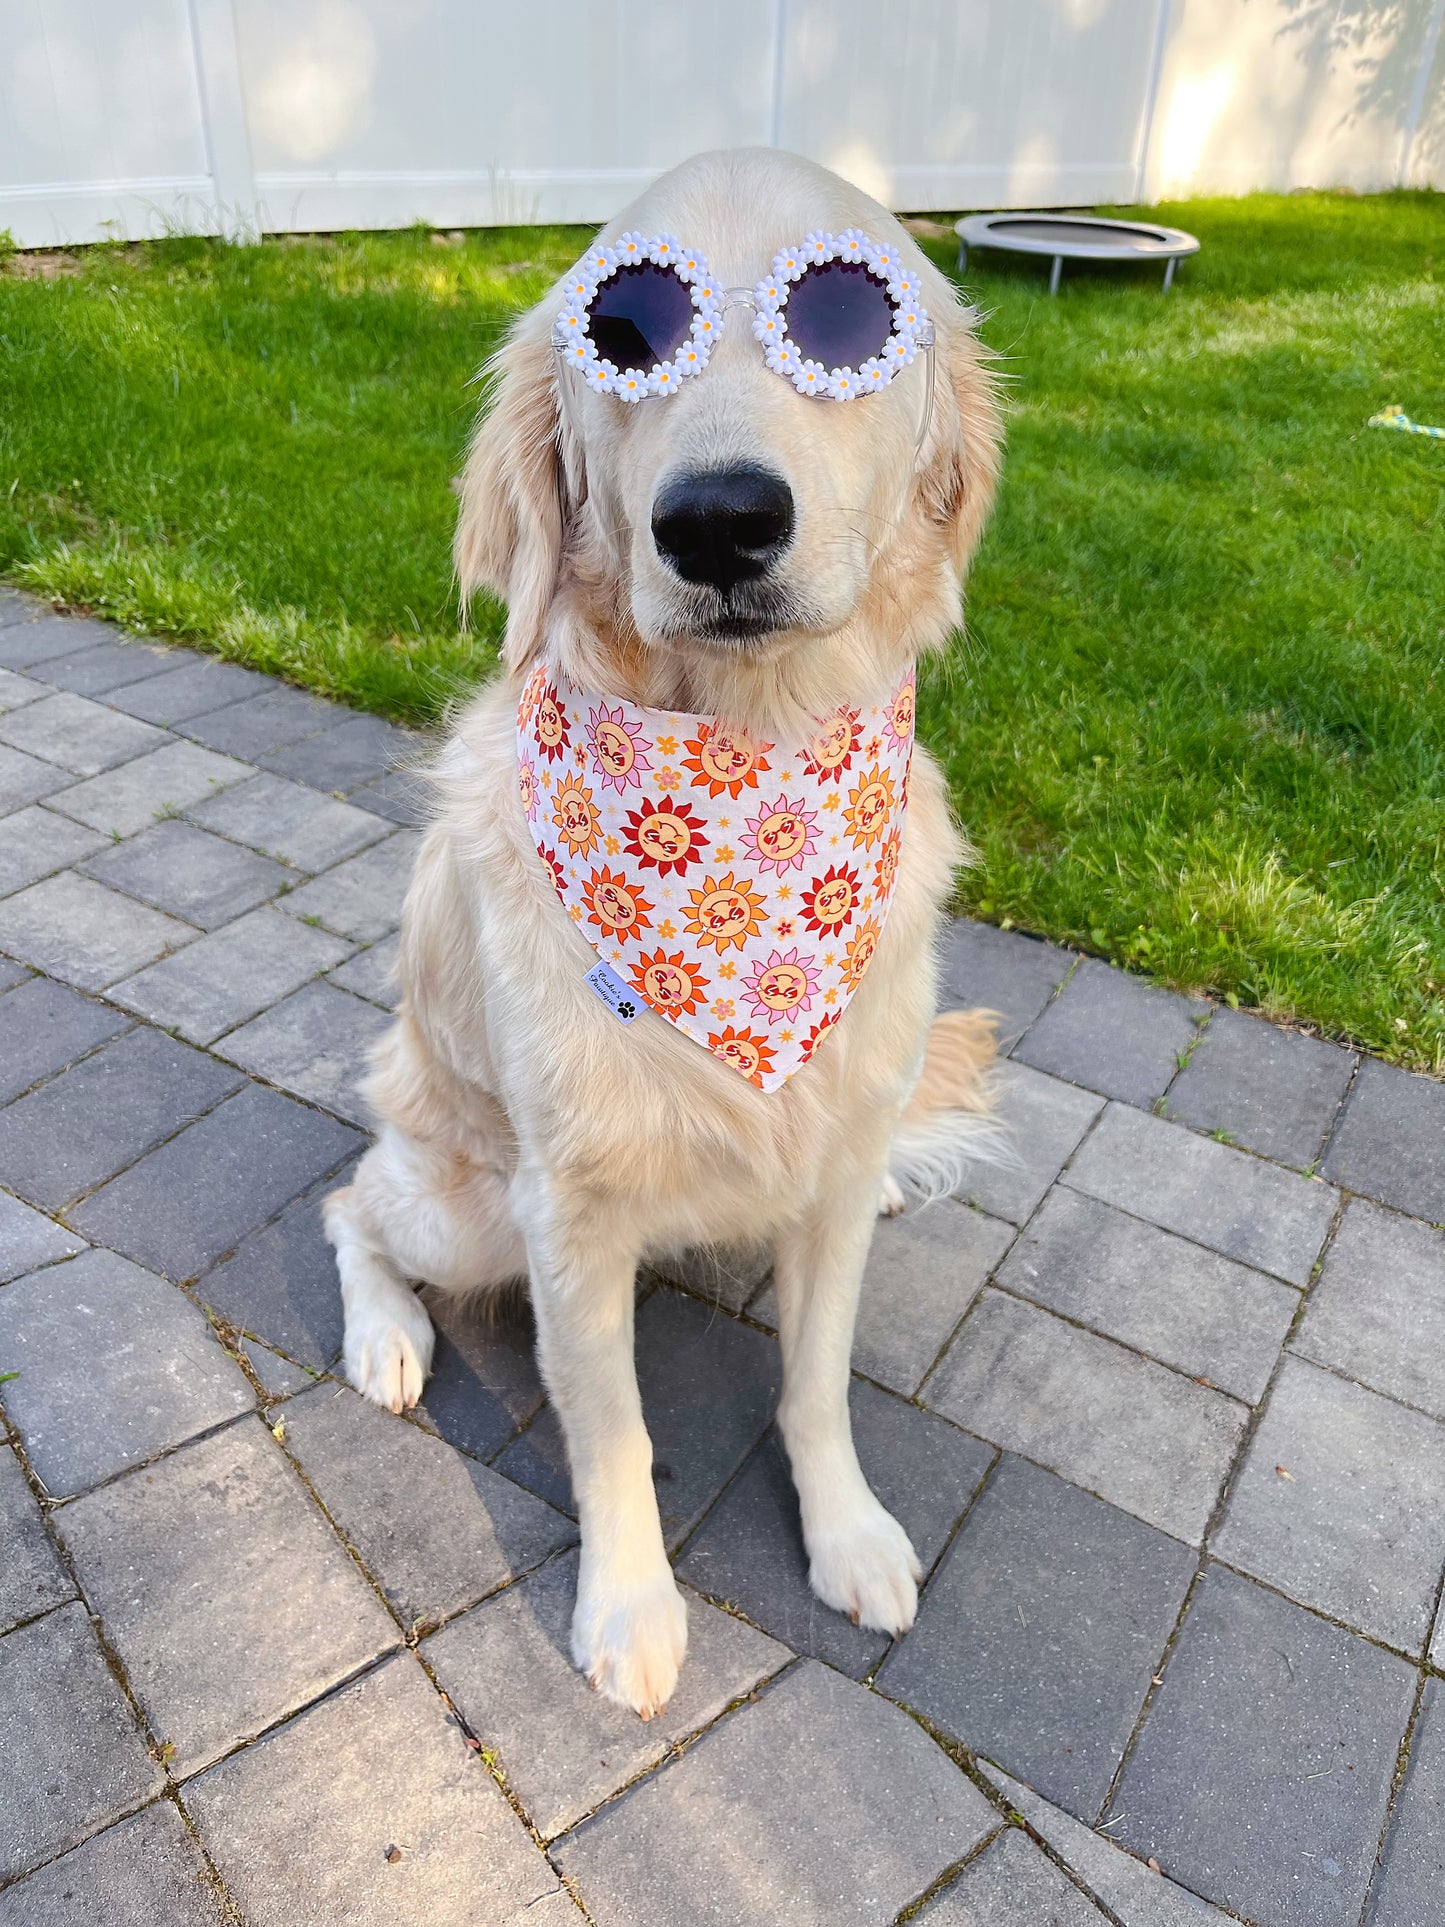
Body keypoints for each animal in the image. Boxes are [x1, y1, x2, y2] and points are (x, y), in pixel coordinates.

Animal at [325, 150, 1009, 1718]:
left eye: (844, 315)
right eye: (621, 330)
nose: (718, 520)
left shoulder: (830, 1167)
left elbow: (815, 1385)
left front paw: (847, 1530)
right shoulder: (568, 1215)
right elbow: (613, 1432)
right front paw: (629, 1608)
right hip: (461, 1203)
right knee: (349, 1202)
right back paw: (385, 1335)